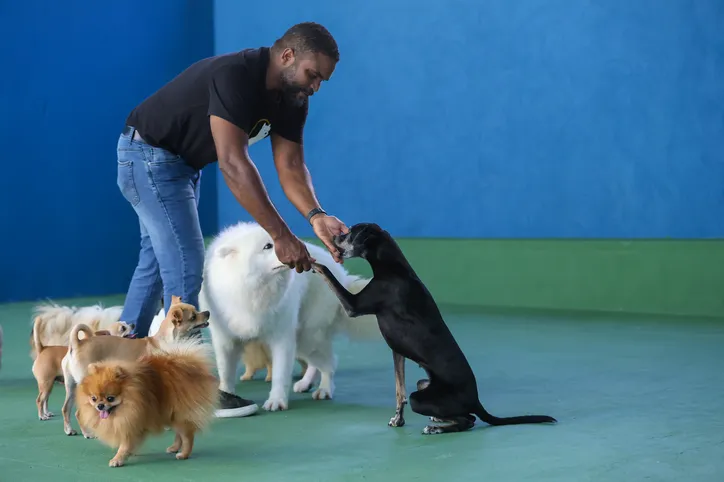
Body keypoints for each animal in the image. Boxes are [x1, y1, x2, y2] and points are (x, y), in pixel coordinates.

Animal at [61, 296, 211, 438]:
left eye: (196, 309)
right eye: (193, 317)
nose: (207, 312)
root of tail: (77, 344)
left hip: (71, 386)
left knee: (66, 408)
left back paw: (69, 430)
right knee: (78, 412)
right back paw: (88, 433)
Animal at [77, 338, 218, 466]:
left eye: (110, 398)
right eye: (93, 398)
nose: (100, 406)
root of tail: (187, 363)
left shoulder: (131, 422)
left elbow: (125, 444)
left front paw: (118, 459)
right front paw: (129, 453)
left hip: (178, 413)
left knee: (187, 435)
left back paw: (184, 454)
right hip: (171, 414)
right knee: (180, 432)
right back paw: (174, 448)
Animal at [198, 222, 378, 414]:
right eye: (267, 246)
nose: (301, 252)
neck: (252, 287)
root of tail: (342, 278)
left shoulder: (282, 338)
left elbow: (279, 373)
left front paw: (276, 401)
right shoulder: (225, 340)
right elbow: (225, 372)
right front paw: (226, 397)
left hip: (308, 336)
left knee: (329, 363)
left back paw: (324, 389)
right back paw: (306, 383)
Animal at [314, 224, 556, 434]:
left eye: (349, 233)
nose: (333, 237)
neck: (393, 268)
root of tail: (476, 400)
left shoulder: (353, 306)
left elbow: (328, 273)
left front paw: (314, 262)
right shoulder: (398, 352)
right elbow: (399, 391)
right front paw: (398, 419)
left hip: (421, 397)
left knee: (468, 420)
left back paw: (436, 427)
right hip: (423, 384)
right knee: (463, 415)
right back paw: (438, 419)